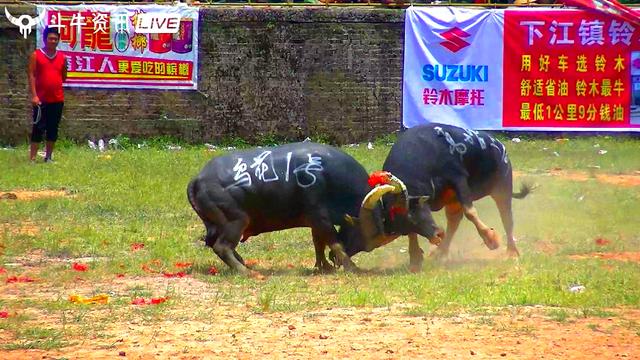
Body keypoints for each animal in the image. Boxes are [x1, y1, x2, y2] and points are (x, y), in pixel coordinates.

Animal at [342, 122, 532, 272]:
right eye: (402, 226)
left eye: (412, 213)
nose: (436, 235)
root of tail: (500, 146)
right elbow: (414, 234)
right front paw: (415, 258)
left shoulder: (458, 179)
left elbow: (471, 212)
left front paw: (491, 239)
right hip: (454, 200)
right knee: (454, 220)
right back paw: (442, 252)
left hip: (502, 188)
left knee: (507, 218)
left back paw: (512, 251)